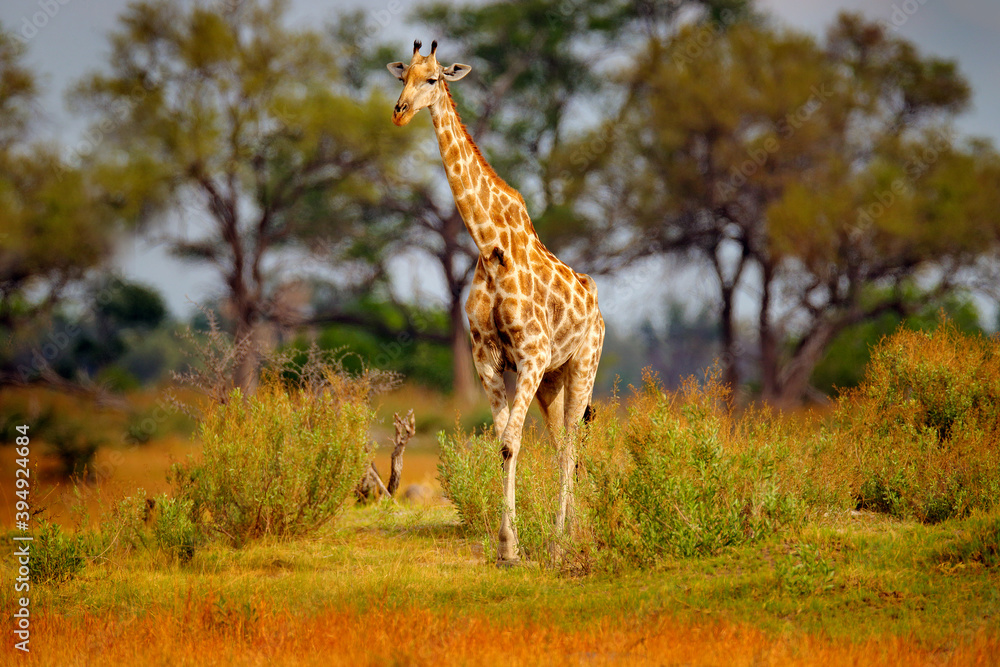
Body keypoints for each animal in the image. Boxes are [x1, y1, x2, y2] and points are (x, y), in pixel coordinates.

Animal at [388, 40, 604, 564]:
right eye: (401, 77)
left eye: (433, 79)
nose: (399, 112)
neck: (488, 245)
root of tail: (598, 306)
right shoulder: (486, 356)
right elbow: (504, 442)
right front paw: (510, 544)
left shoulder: (531, 354)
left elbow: (510, 442)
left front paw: (513, 545)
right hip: (552, 381)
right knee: (559, 444)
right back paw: (564, 532)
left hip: (581, 366)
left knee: (571, 444)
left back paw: (561, 538)